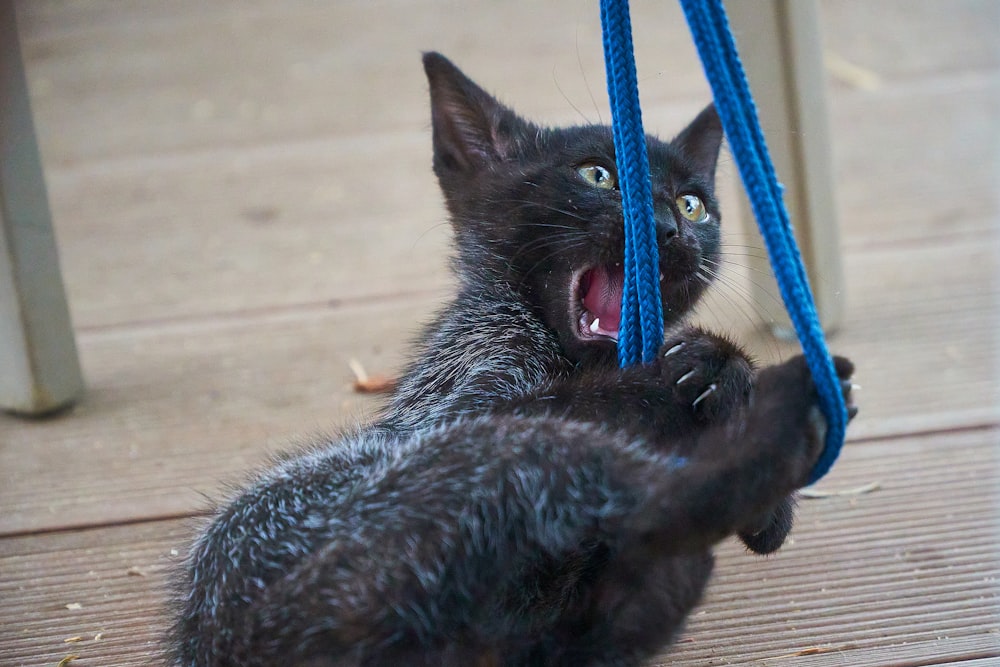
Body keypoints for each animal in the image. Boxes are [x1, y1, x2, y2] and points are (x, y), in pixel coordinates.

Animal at [168, 53, 856, 667]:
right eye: (598, 175)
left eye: (694, 205)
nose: (668, 228)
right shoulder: (455, 403)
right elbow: (590, 397)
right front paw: (715, 368)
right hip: (474, 463)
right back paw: (781, 422)